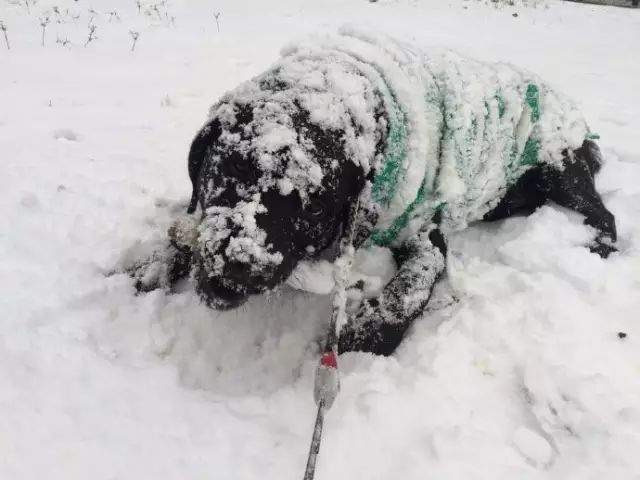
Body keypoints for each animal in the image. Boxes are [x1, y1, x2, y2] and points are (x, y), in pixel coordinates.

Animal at [124, 27, 616, 356]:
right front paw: (154, 265)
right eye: (230, 168)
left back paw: (598, 247)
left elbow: (409, 289)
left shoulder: (424, 232)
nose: (240, 263)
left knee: (604, 213)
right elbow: (188, 223)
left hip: (558, 166)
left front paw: (364, 335)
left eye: (315, 207)